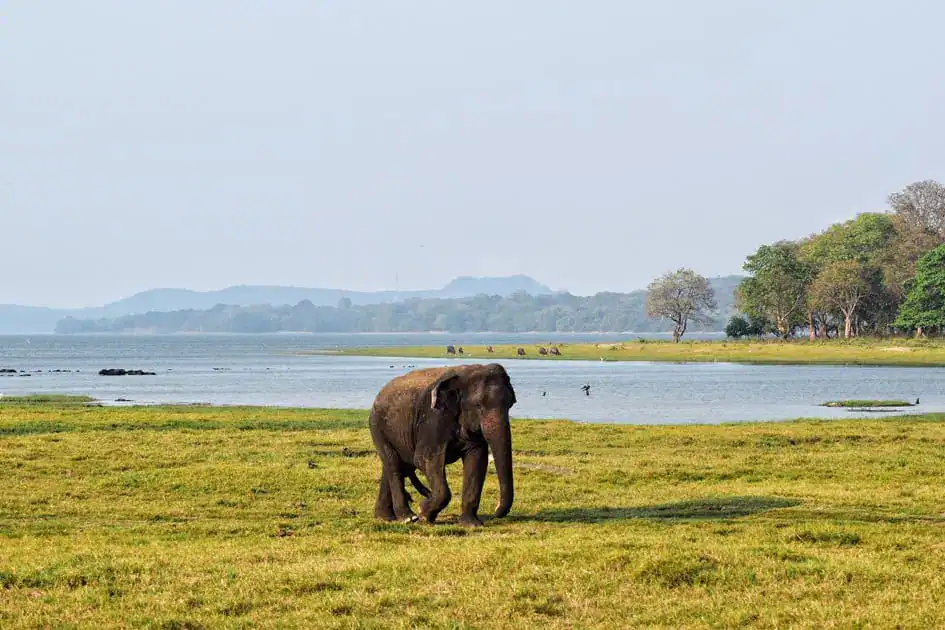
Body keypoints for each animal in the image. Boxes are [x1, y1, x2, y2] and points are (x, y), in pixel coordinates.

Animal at [368, 363, 516, 526]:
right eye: (478, 406)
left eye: (510, 404)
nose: (496, 511)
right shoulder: (433, 417)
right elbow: (424, 459)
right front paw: (423, 513)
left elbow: (477, 460)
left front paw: (471, 524)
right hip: (378, 427)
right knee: (394, 465)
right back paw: (408, 518)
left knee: (393, 466)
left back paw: (386, 517)